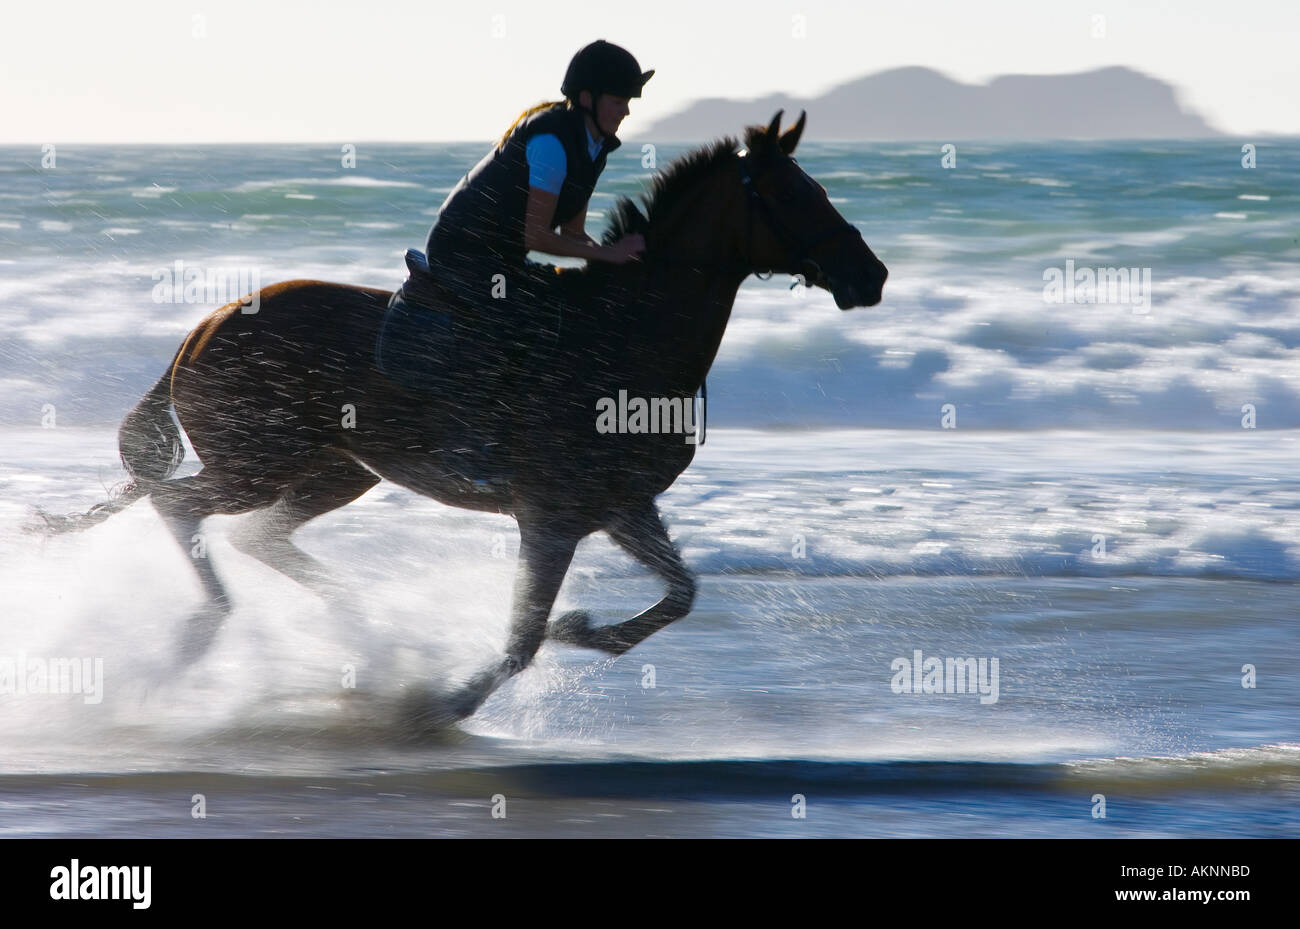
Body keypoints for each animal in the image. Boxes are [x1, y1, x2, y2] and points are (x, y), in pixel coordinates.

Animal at [40, 112, 889, 727]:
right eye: (795, 195)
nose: (872, 276)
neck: (628, 337)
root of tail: (203, 326)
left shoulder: (620, 505)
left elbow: (679, 595)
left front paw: (581, 629)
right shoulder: (551, 513)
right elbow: (521, 639)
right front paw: (447, 701)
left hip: (335, 471)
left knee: (256, 534)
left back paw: (365, 629)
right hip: (256, 463)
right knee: (179, 505)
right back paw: (211, 629)